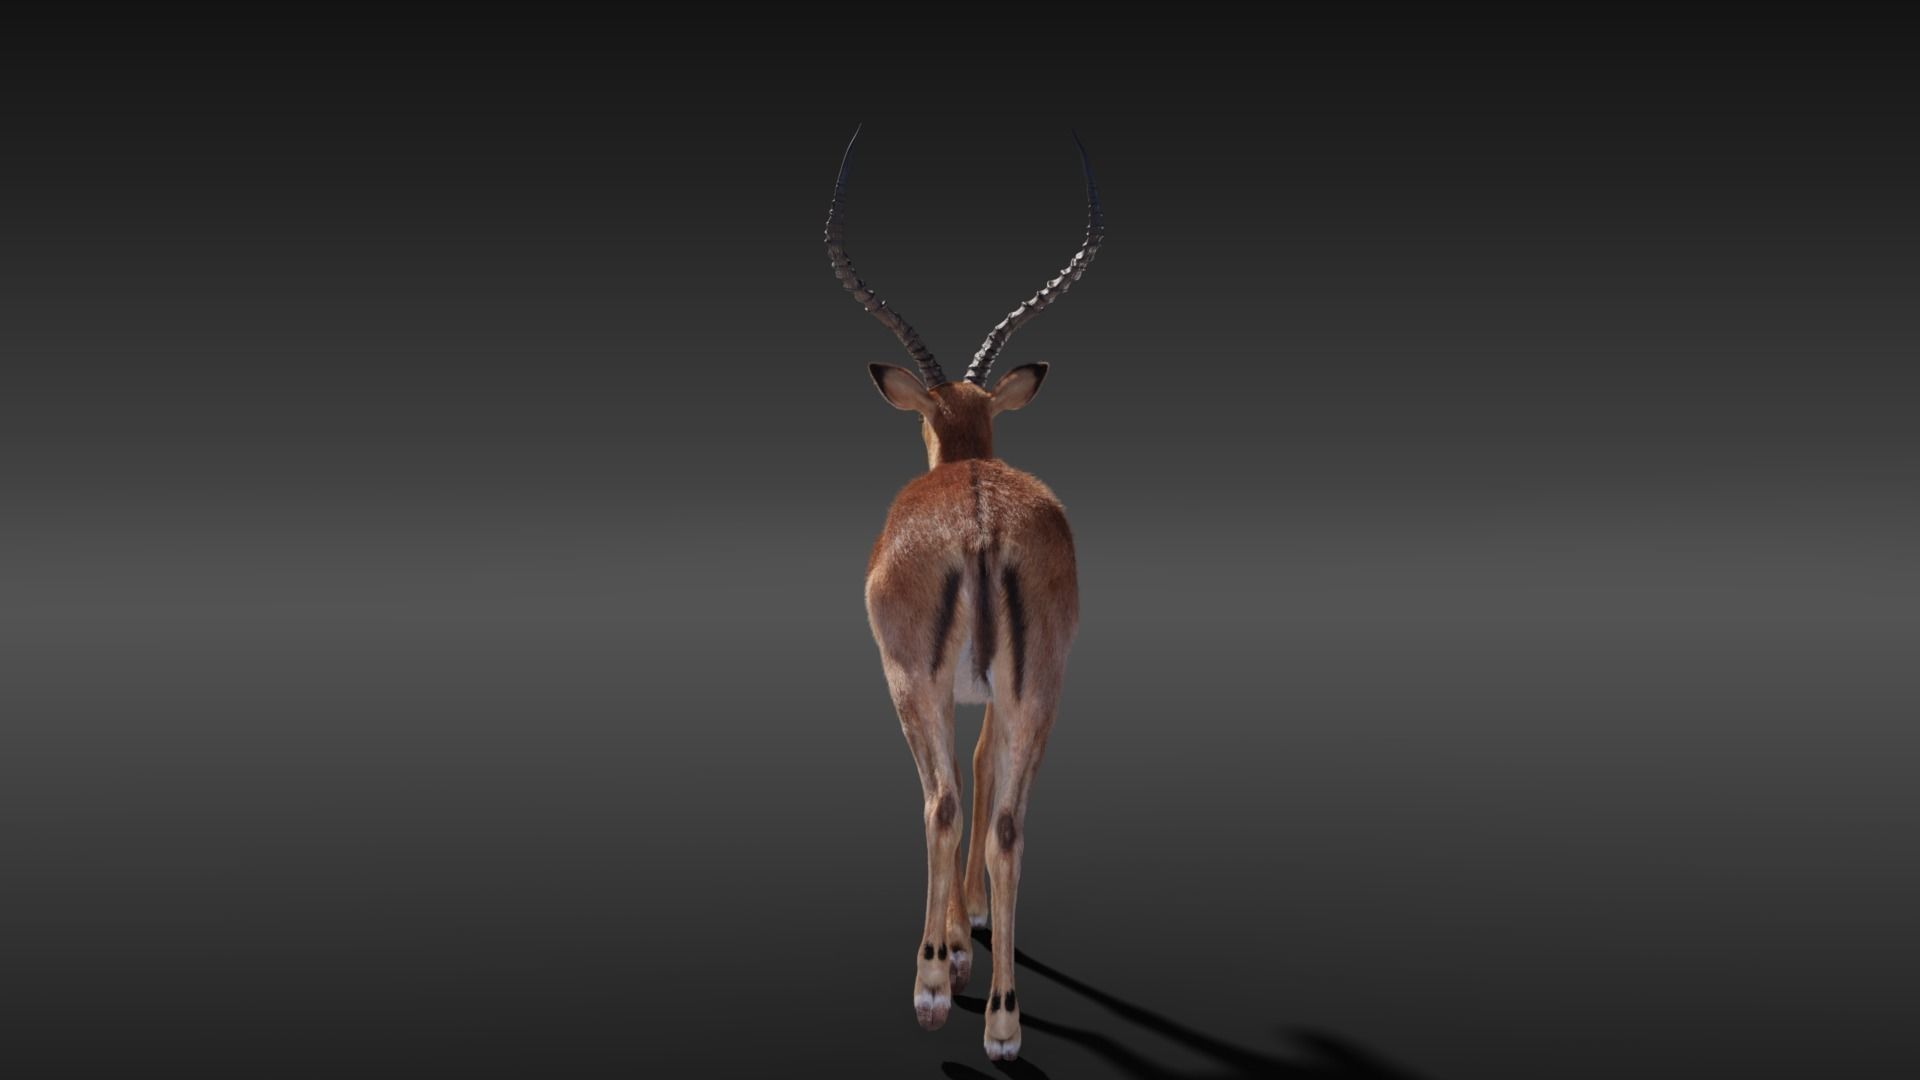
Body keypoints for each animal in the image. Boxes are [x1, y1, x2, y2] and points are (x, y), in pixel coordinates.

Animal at [823, 124, 1102, 1063]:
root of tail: (979, 521)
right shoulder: (995, 693)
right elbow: (986, 772)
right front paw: (969, 928)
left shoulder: (929, 684)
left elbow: (950, 790)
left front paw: (946, 952)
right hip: (1041, 689)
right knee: (1009, 822)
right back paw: (1004, 1025)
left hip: (913, 683)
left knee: (939, 802)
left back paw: (934, 995)